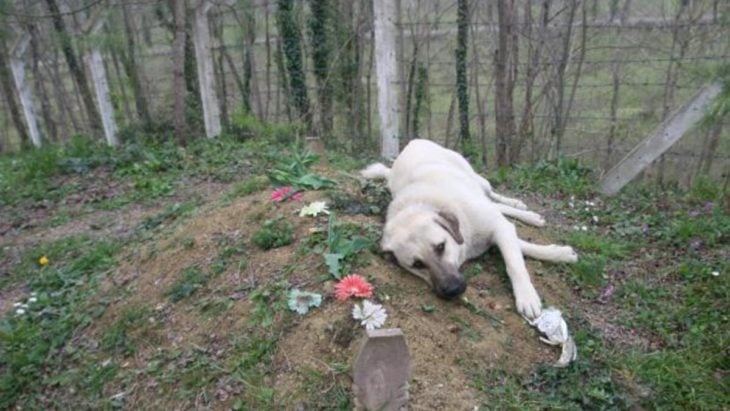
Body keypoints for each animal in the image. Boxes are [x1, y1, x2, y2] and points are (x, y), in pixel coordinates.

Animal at [362, 140, 576, 320]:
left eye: (441, 247)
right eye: (417, 264)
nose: (452, 290)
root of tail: (412, 143)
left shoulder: (498, 227)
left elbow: (515, 263)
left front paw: (527, 295)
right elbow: (519, 246)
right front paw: (560, 253)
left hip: (478, 180)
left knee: (495, 198)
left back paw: (522, 209)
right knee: (495, 205)